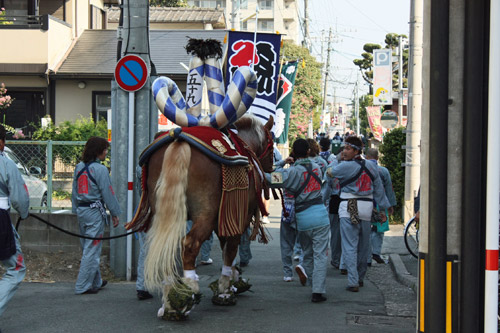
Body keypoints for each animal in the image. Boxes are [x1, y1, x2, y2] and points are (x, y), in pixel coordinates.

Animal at [124, 39, 274, 320]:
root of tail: (179, 139)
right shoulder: (234, 214)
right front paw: (227, 289)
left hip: (165, 208)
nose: (272, 166)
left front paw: (229, 285)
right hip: (205, 210)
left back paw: (170, 297)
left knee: (168, 245)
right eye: (271, 147)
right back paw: (185, 296)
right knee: (190, 243)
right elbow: (230, 248)